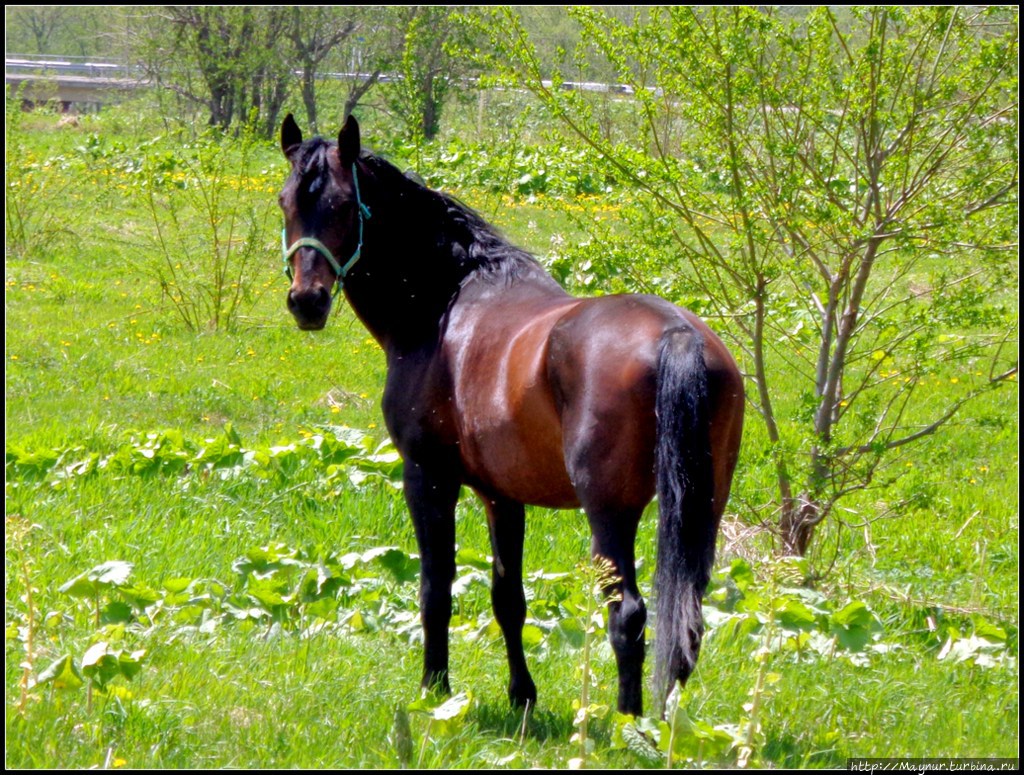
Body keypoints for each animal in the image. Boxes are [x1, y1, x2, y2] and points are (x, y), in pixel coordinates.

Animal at [278, 113, 745, 712]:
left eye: (342, 204)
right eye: (286, 201)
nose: (306, 301)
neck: (445, 306)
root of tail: (678, 334)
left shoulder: (428, 477)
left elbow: (436, 588)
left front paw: (435, 689)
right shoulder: (502, 495)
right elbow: (508, 597)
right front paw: (522, 695)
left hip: (610, 514)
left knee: (629, 615)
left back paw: (629, 720)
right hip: (701, 511)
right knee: (686, 620)